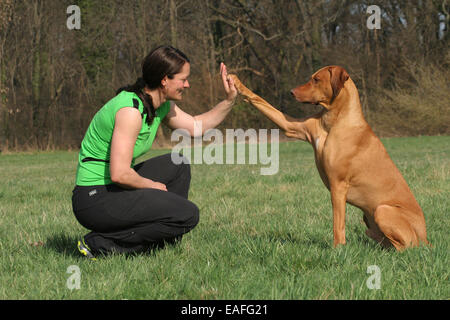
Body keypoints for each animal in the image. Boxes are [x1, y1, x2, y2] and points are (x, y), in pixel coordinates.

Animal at [230, 67, 430, 251]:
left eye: (316, 79)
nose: (292, 92)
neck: (334, 120)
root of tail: (427, 238)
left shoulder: (338, 186)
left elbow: (338, 224)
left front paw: (338, 249)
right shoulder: (291, 127)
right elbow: (260, 100)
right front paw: (236, 82)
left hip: (383, 210)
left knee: (405, 247)